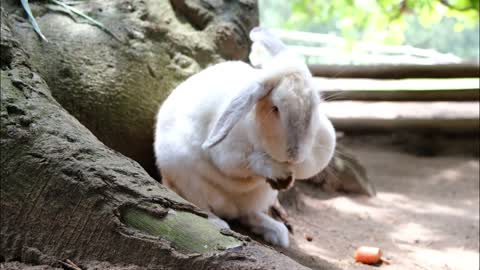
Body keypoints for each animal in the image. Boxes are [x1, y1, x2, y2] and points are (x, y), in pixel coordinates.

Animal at [156, 26, 336, 247]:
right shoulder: (230, 154)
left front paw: (289, 173)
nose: (294, 154)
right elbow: (250, 161)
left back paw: (278, 233)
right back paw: (219, 223)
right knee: (200, 208)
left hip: (258, 198)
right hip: (190, 184)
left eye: (315, 106)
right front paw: (279, 172)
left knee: (248, 215)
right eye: (276, 108)